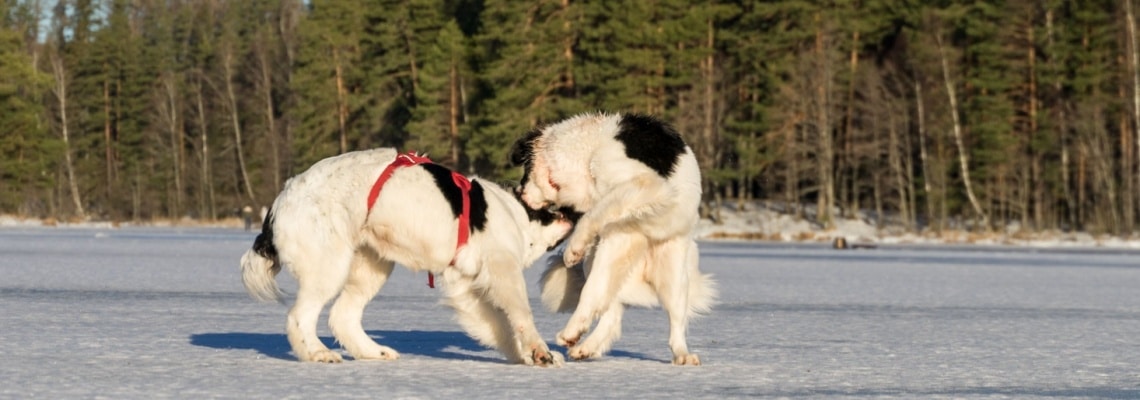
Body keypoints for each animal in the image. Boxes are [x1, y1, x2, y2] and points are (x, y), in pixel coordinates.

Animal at [243, 148, 574, 366]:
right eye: (552, 208)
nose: (571, 215)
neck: (514, 211)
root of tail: (282, 198)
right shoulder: (503, 269)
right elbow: (520, 315)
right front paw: (539, 352)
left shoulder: (464, 287)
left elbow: (498, 326)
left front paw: (524, 356)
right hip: (329, 267)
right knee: (300, 317)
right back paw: (317, 353)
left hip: (371, 267)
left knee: (342, 316)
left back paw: (372, 351)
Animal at [513, 112, 715, 366]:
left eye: (525, 172)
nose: (519, 193)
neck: (587, 150)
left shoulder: (643, 183)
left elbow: (596, 212)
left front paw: (573, 249)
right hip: (605, 258)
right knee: (608, 311)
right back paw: (584, 346)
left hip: (669, 274)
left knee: (671, 322)